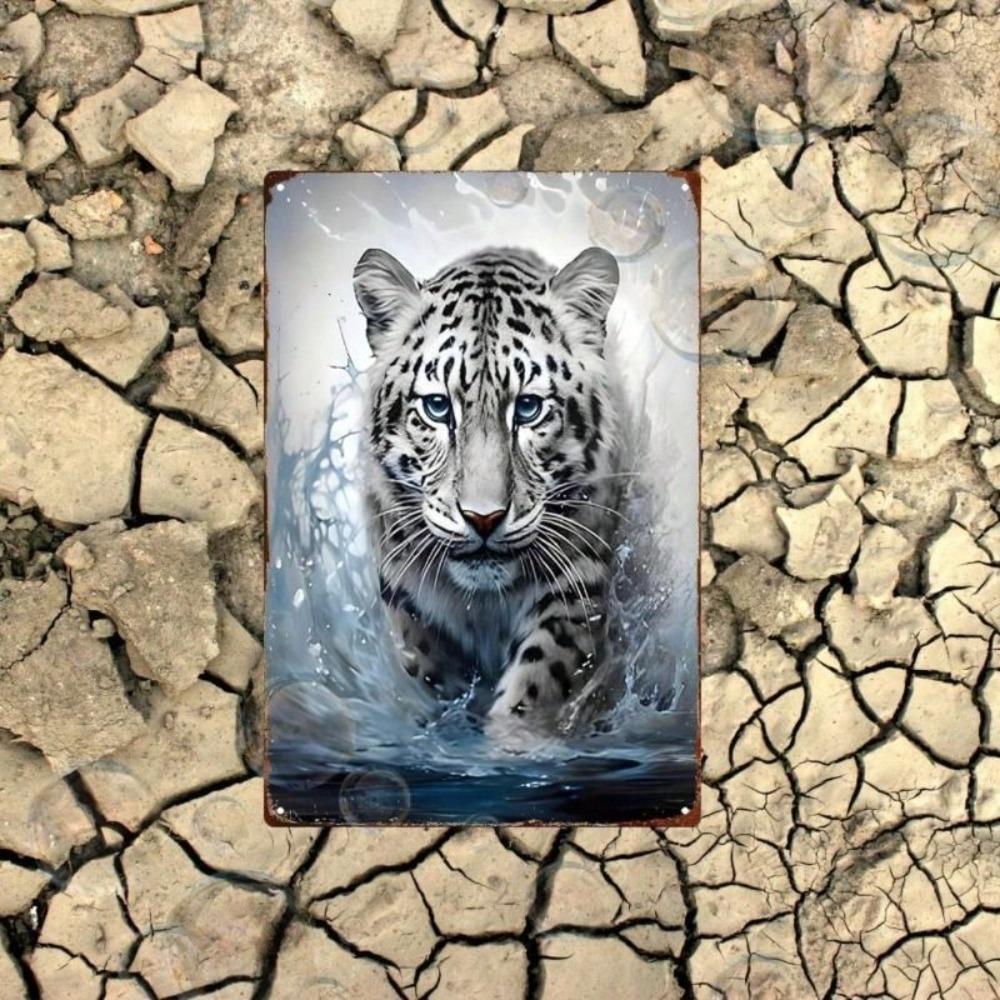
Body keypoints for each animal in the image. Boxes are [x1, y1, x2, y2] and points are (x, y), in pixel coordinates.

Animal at [353, 244, 624, 749]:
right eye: (437, 407)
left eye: (529, 408)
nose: (483, 518)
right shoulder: (404, 592)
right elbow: (428, 670)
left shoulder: (577, 582)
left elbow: (542, 673)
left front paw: (515, 740)